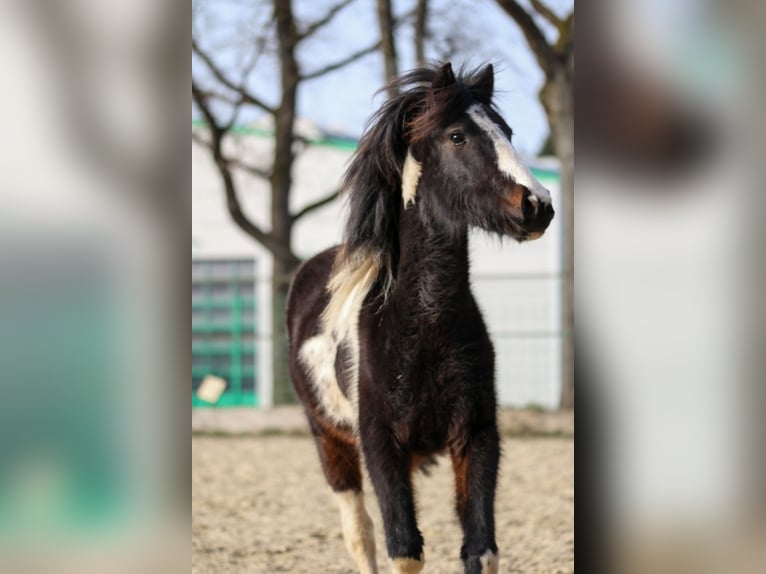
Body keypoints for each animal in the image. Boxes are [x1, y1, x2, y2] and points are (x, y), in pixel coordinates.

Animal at [286, 62, 554, 574]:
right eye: (457, 136)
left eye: (507, 131)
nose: (538, 205)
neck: (423, 327)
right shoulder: (379, 444)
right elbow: (403, 549)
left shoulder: (476, 436)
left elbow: (480, 550)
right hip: (329, 441)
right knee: (360, 535)